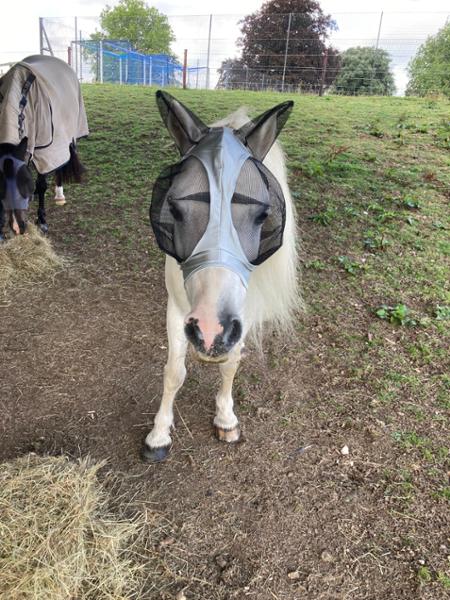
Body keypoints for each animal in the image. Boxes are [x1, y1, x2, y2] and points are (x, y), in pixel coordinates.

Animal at [0, 54, 88, 240]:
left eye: (26, 182)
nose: (18, 228)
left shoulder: (45, 151)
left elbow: (41, 185)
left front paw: (41, 221)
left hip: (64, 139)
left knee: (62, 163)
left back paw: (59, 196)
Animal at [142, 91, 300, 462]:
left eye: (263, 214)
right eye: (175, 209)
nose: (211, 330)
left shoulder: (243, 317)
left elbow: (230, 365)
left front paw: (226, 418)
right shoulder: (176, 310)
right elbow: (174, 372)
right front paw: (159, 434)